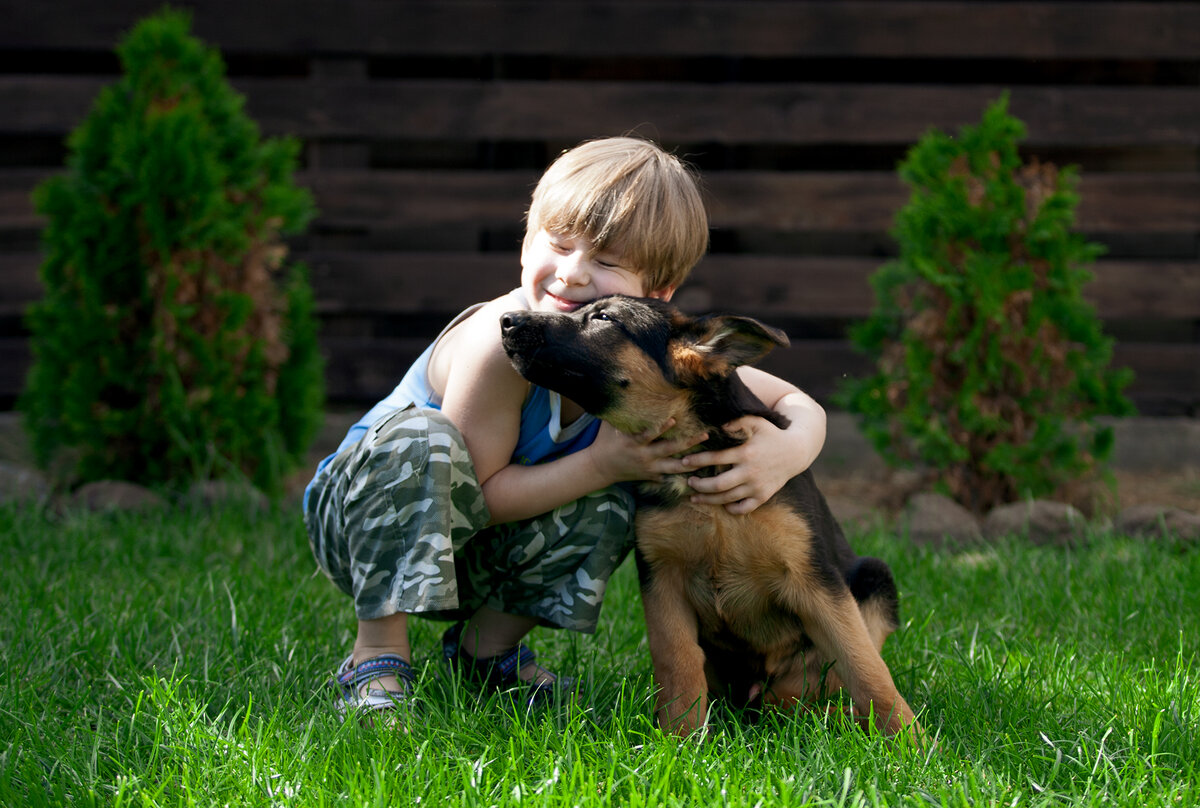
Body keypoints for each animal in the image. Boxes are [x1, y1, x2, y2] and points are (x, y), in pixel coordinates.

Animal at [496, 296, 916, 739]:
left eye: (605, 318)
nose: (506, 320)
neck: (698, 466)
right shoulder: (662, 579)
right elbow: (677, 661)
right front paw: (679, 739)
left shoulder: (813, 579)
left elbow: (865, 666)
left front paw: (910, 742)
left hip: (875, 577)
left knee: (814, 681)